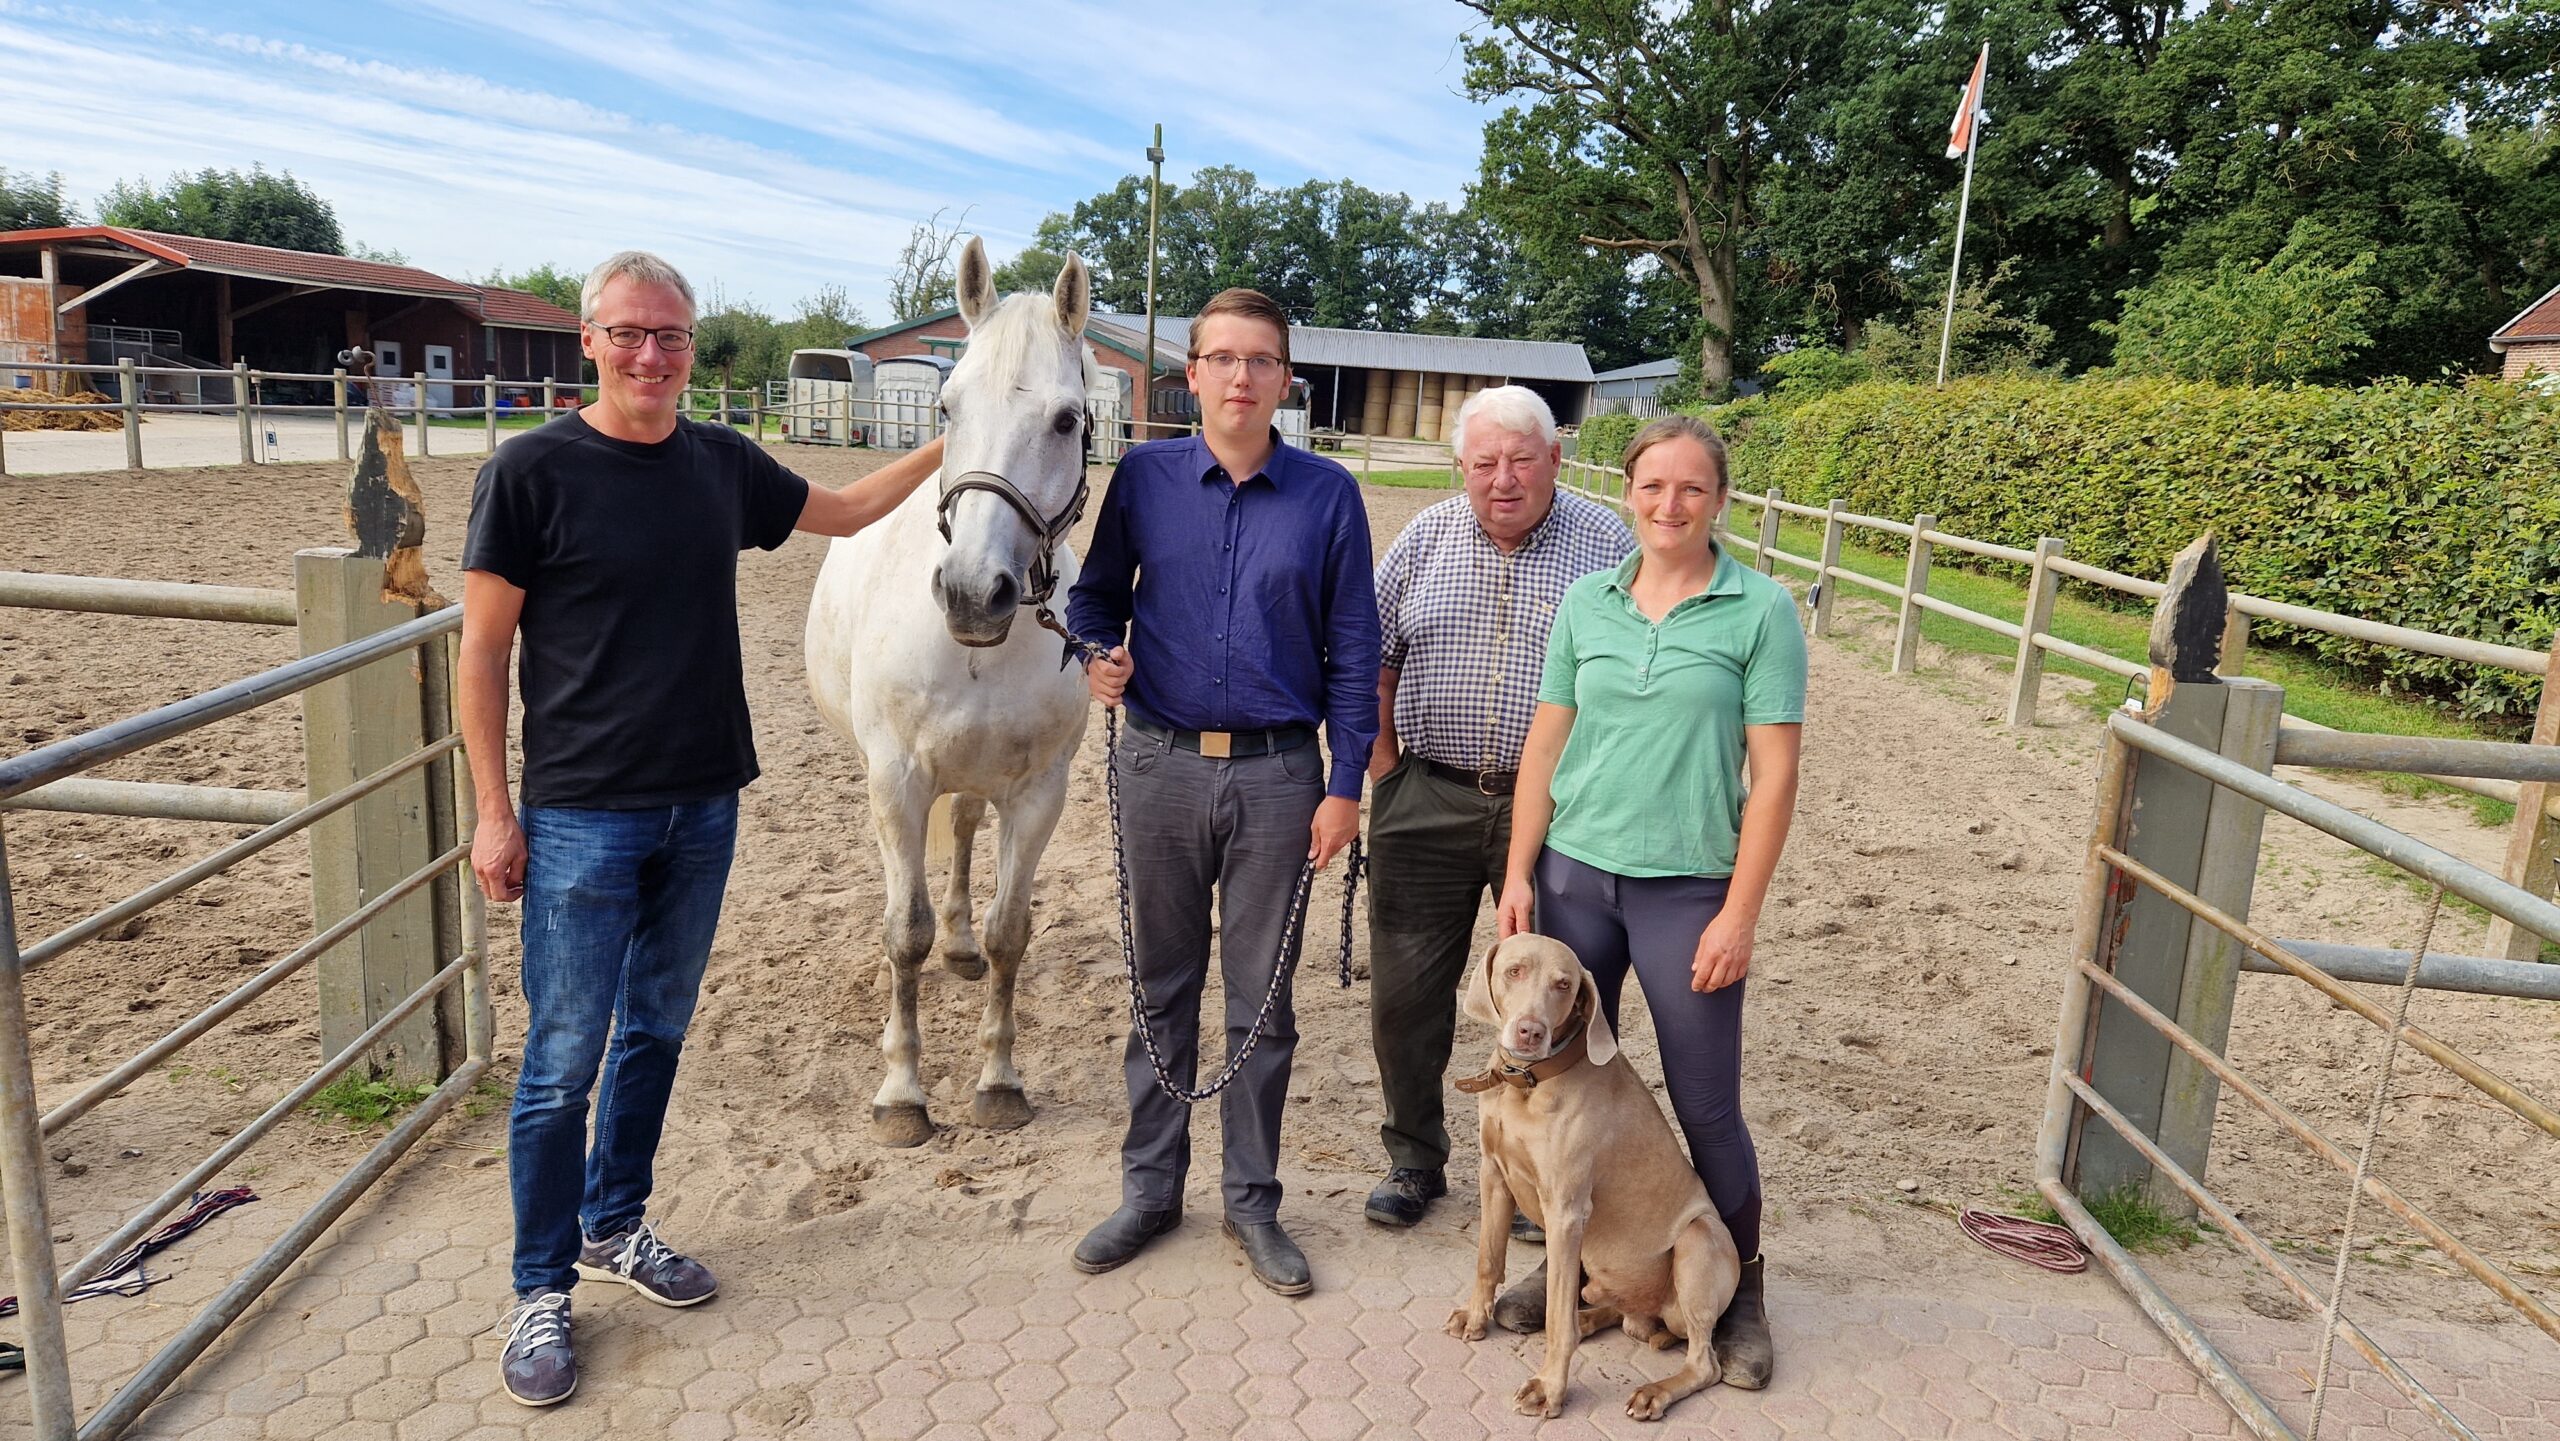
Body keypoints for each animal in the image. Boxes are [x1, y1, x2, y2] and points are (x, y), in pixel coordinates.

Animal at [803, 241, 1095, 1156]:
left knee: (965, 835)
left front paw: (998, 1080)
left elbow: (1009, 933)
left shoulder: (1037, 793)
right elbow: (905, 931)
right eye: (944, 405)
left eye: (1067, 420)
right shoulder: (896, 781)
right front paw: (902, 1092)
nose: (972, 591)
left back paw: (961, 947)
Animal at [1443, 936, 1740, 1423]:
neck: (1527, 1084)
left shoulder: (1565, 1211)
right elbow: (1488, 1258)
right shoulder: (1493, 1173)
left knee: (1704, 1363)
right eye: (1514, 971)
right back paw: (1589, 1318)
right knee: (1617, 1312)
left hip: (1698, 1239)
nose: (1530, 1032)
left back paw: (1652, 1391)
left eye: (1563, 985)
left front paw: (1548, 1388)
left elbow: (1554, 1317)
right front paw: (1474, 1317)